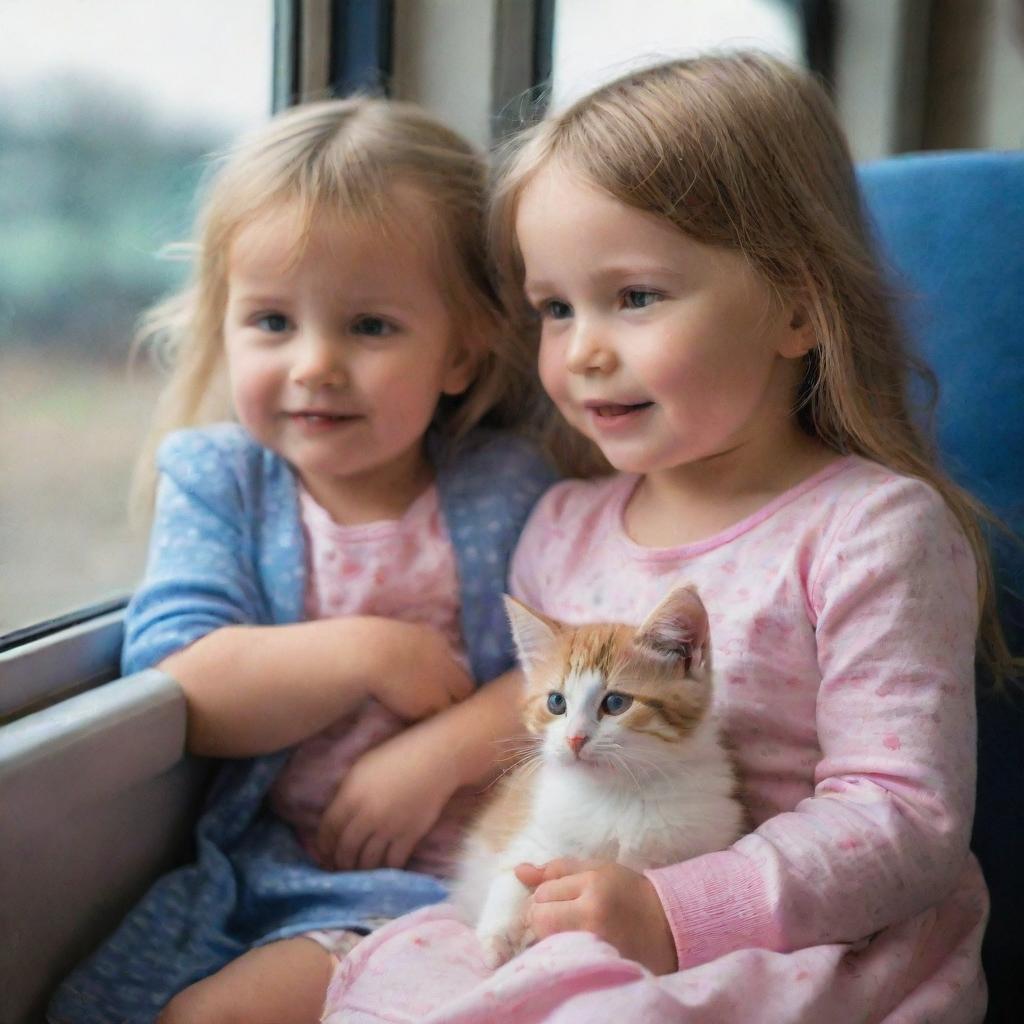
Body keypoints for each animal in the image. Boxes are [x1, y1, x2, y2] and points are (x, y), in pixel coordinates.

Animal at [454, 585, 745, 966]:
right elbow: (515, 870)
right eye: (556, 702)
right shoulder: (538, 828)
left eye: (616, 703)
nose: (575, 738)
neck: (616, 793)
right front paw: (497, 938)